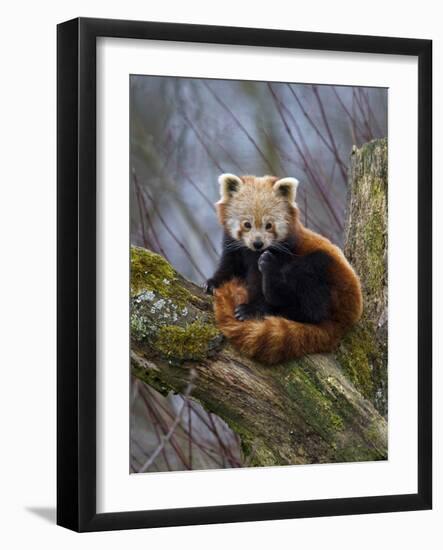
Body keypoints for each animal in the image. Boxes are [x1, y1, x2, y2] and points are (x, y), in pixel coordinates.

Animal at [208, 175, 364, 366]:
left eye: (269, 225)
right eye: (247, 224)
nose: (258, 243)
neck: (253, 253)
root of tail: (347, 319)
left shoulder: (284, 252)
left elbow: (258, 285)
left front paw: (252, 309)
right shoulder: (234, 247)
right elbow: (229, 266)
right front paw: (213, 283)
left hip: (328, 276)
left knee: (310, 301)